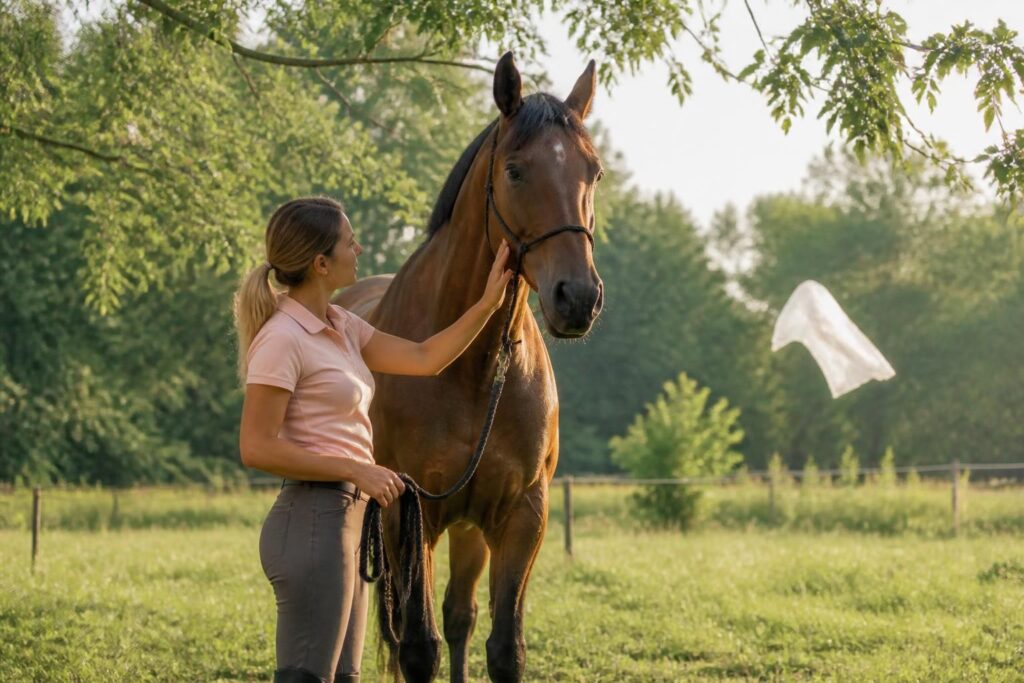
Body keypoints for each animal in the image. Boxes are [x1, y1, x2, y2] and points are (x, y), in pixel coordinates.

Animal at [335, 52, 604, 683]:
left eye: (595, 173)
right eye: (516, 171)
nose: (577, 297)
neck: (477, 372)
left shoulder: (522, 516)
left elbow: (503, 647)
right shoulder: (408, 512)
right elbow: (418, 648)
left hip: (469, 530)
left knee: (460, 614)